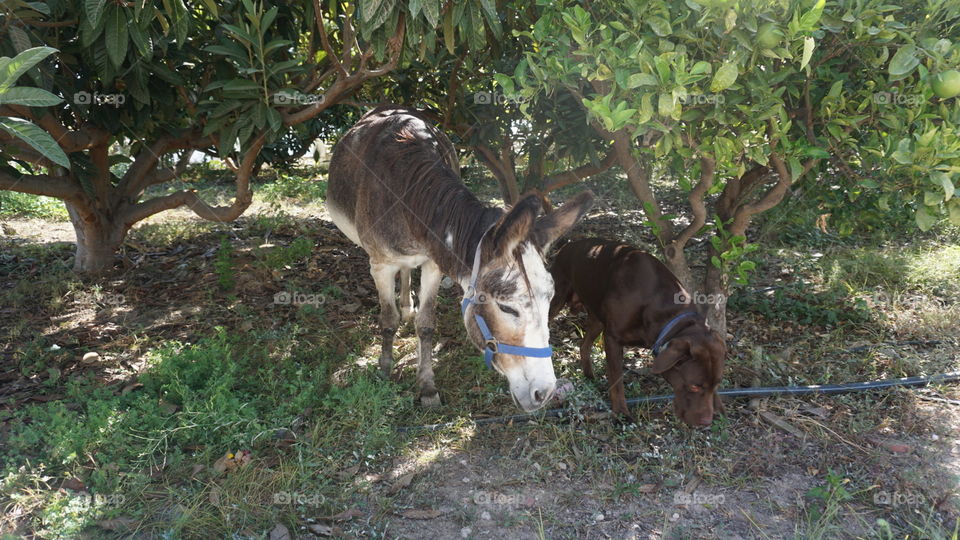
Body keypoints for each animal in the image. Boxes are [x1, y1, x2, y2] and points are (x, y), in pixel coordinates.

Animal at [552, 237, 724, 426]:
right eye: (694, 386)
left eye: (717, 384)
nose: (707, 422)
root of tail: (568, 245)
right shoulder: (612, 339)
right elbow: (616, 382)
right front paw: (621, 414)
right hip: (555, 301)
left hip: (597, 317)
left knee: (584, 344)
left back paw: (589, 376)